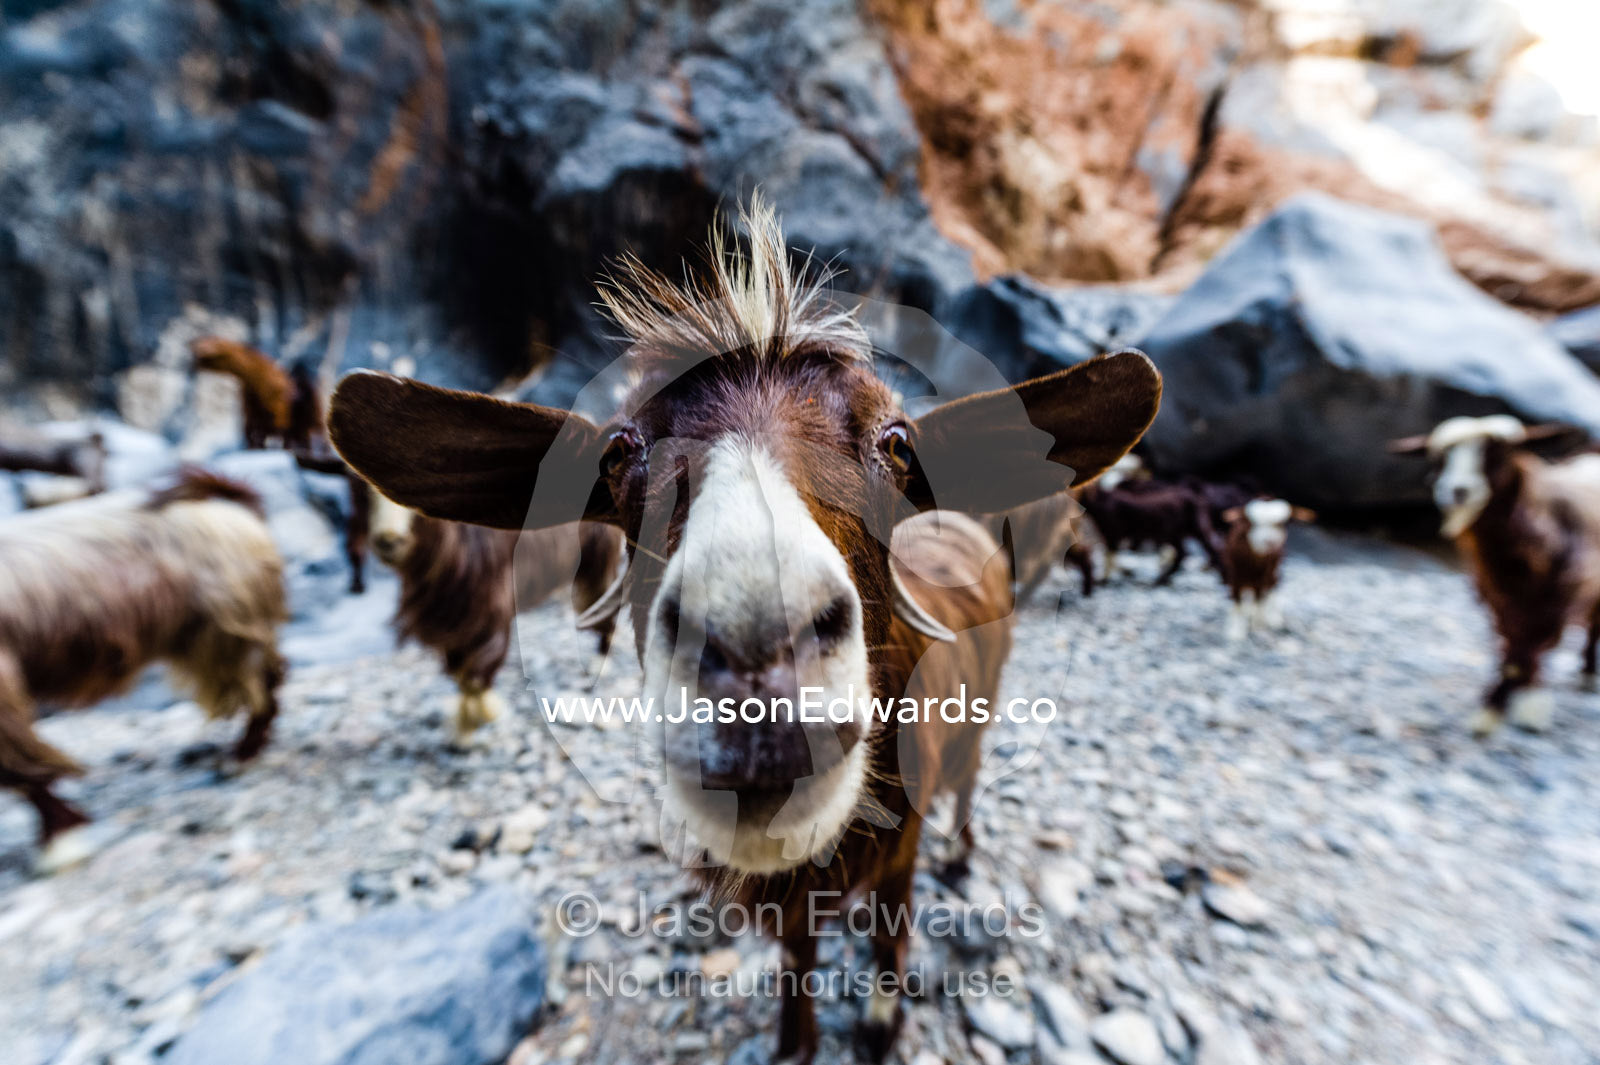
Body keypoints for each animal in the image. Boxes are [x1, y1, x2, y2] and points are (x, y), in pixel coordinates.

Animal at [0, 468, 287, 871]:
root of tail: (230, 505)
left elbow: (19, 769)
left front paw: (61, 841)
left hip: (226, 630)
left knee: (261, 683)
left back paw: (243, 755)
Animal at [366, 490, 623, 742]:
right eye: (362, 490)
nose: (388, 540)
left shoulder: (492, 611)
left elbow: (477, 672)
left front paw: (486, 716)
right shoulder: (453, 625)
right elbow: (460, 674)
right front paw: (464, 730)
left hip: (597, 562)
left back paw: (600, 663)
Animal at [1218, 498, 1315, 640]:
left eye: (1281, 524)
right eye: (1252, 524)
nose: (1269, 542)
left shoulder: (1263, 576)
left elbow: (1259, 600)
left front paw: (1257, 627)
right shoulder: (1235, 577)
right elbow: (1238, 603)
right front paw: (1235, 632)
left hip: (1274, 569)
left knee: (1272, 587)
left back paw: (1272, 618)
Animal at [1393, 416, 1600, 735]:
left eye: (1497, 455)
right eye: (1439, 460)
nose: (1457, 490)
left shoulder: (1559, 597)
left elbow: (1526, 650)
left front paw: (1522, 710)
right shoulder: (1498, 597)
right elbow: (1513, 648)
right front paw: (1499, 706)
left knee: (1594, 627)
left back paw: (1589, 674)